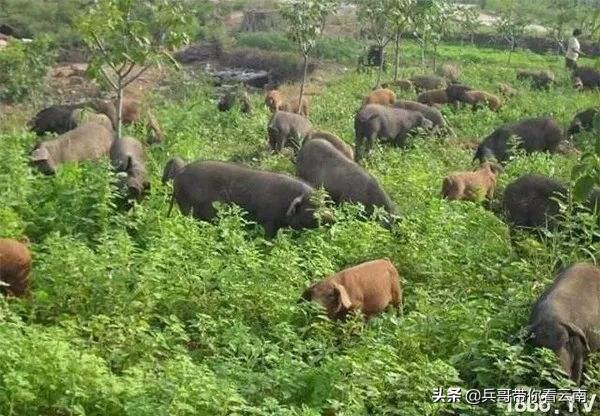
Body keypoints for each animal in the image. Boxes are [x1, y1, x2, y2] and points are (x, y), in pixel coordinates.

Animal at [164, 159, 322, 237]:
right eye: (313, 206)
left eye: (323, 204)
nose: (327, 215)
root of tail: (180, 172)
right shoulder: (268, 221)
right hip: (188, 207)